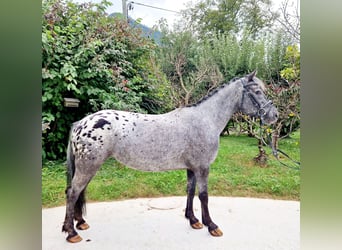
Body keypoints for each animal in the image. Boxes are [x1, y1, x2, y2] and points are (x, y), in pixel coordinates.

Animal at [61, 71, 278, 242]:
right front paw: (211, 226)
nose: (274, 115)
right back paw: (72, 233)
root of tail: (81, 123)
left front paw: (193, 220)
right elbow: (204, 196)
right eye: (257, 92)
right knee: (73, 192)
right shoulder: (202, 167)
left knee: (77, 192)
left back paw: (79, 223)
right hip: (88, 167)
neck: (205, 120)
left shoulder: (192, 168)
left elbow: (190, 191)